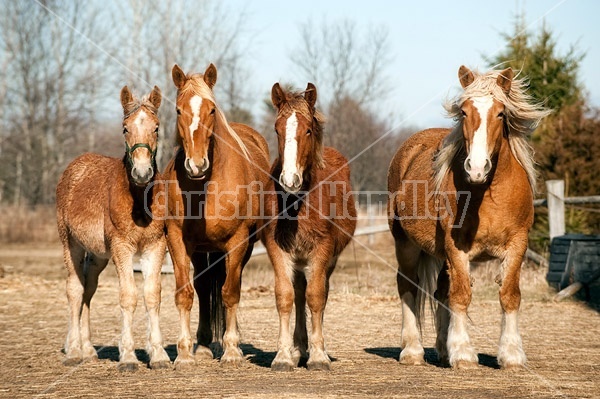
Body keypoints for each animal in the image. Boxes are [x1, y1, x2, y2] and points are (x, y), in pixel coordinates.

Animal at [56, 85, 170, 372]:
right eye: (125, 128)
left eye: (156, 128)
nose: (142, 172)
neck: (139, 201)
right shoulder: (122, 248)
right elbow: (128, 296)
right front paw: (128, 356)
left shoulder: (155, 246)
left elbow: (152, 295)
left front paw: (159, 355)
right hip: (70, 244)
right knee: (74, 289)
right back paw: (74, 351)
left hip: (97, 255)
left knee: (88, 288)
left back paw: (87, 350)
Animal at [163, 64, 268, 370]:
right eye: (178, 110)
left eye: (211, 110)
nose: (196, 165)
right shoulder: (177, 240)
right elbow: (185, 294)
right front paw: (185, 353)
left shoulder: (237, 240)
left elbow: (230, 292)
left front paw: (232, 350)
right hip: (201, 250)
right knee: (202, 287)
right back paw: (204, 343)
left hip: (241, 248)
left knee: (228, 284)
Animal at [262, 83, 356, 374]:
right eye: (277, 129)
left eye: (307, 130)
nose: (289, 180)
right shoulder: (278, 249)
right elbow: (285, 296)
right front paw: (283, 356)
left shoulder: (322, 250)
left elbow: (316, 297)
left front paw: (318, 356)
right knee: (299, 293)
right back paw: (297, 349)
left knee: (318, 294)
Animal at [386, 65, 552, 368]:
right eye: (464, 112)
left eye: (500, 113)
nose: (476, 168)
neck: (487, 194)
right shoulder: (457, 247)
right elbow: (461, 294)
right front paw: (463, 353)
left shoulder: (518, 244)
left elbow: (509, 295)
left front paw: (511, 354)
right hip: (405, 244)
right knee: (408, 286)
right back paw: (412, 350)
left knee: (440, 291)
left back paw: (442, 349)